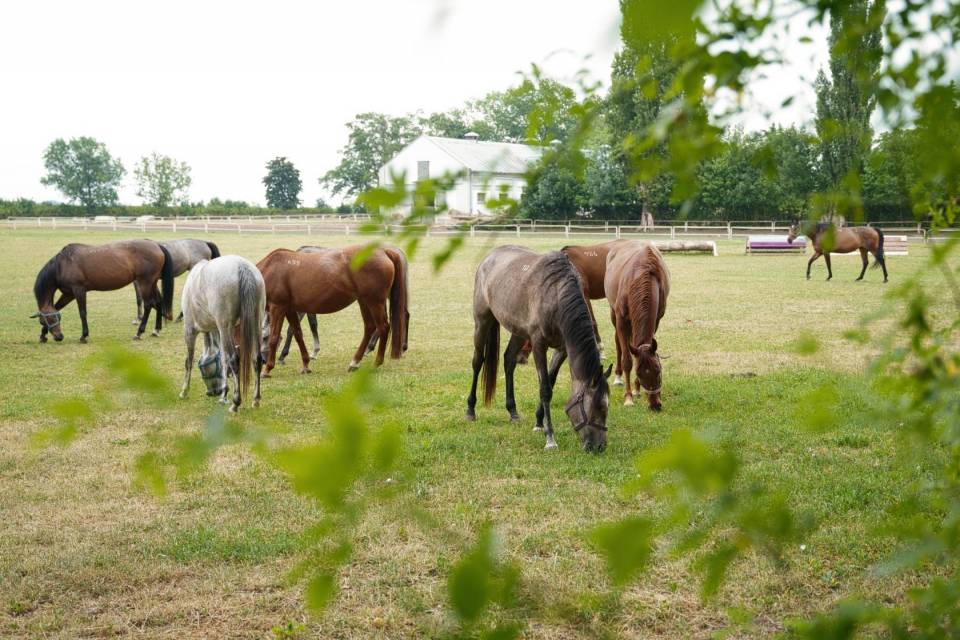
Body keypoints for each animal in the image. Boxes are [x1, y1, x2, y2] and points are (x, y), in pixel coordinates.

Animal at [32, 240, 174, 343]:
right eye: (45, 320)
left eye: (50, 320)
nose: (59, 337)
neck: (62, 264)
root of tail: (156, 245)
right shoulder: (69, 293)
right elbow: (57, 307)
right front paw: (43, 335)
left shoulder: (79, 290)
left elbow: (82, 313)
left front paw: (84, 336)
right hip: (152, 283)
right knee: (158, 302)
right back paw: (156, 330)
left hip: (145, 283)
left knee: (148, 305)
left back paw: (139, 333)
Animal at [178, 255, 266, 412]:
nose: (213, 392)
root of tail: (242, 266)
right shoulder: (220, 330)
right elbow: (223, 359)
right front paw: (224, 395)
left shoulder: (189, 330)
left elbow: (189, 361)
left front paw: (184, 390)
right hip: (256, 322)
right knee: (257, 358)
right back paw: (256, 400)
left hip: (226, 327)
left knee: (234, 360)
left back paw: (235, 403)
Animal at [257, 244, 409, 375]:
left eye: (263, 337)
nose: (262, 361)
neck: (271, 269)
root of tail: (384, 251)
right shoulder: (289, 309)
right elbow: (297, 333)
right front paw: (305, 365)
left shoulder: (278, 307)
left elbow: (275, 337)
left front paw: (268, 369)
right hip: (364, 301)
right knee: (370, 327)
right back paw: (355, 362)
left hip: (374, 302)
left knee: (383, 327)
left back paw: (376, 362)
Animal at [466, 246, 612, 452]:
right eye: (597, 408)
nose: (599, 446)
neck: (556, 294)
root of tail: (489, 257)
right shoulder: (538, 344)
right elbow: (545, 389)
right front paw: (550, 437)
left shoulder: (562, 348)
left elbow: (550, 381)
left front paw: (538, 421)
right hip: (482, 321)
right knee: (478, 361)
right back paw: (470, 410)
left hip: (518, 331)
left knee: (509, 360)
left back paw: (513, 411)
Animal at [605, 241, 670, 410]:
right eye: (639, 373)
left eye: (658, 370)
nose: (655, 404)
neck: (643, 273)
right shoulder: (621, 320)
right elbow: (628, 360)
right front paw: (628, 397)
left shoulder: (657, 319)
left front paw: (636, 389)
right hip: (613, 312)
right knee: (619, 345)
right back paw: (618, 377)